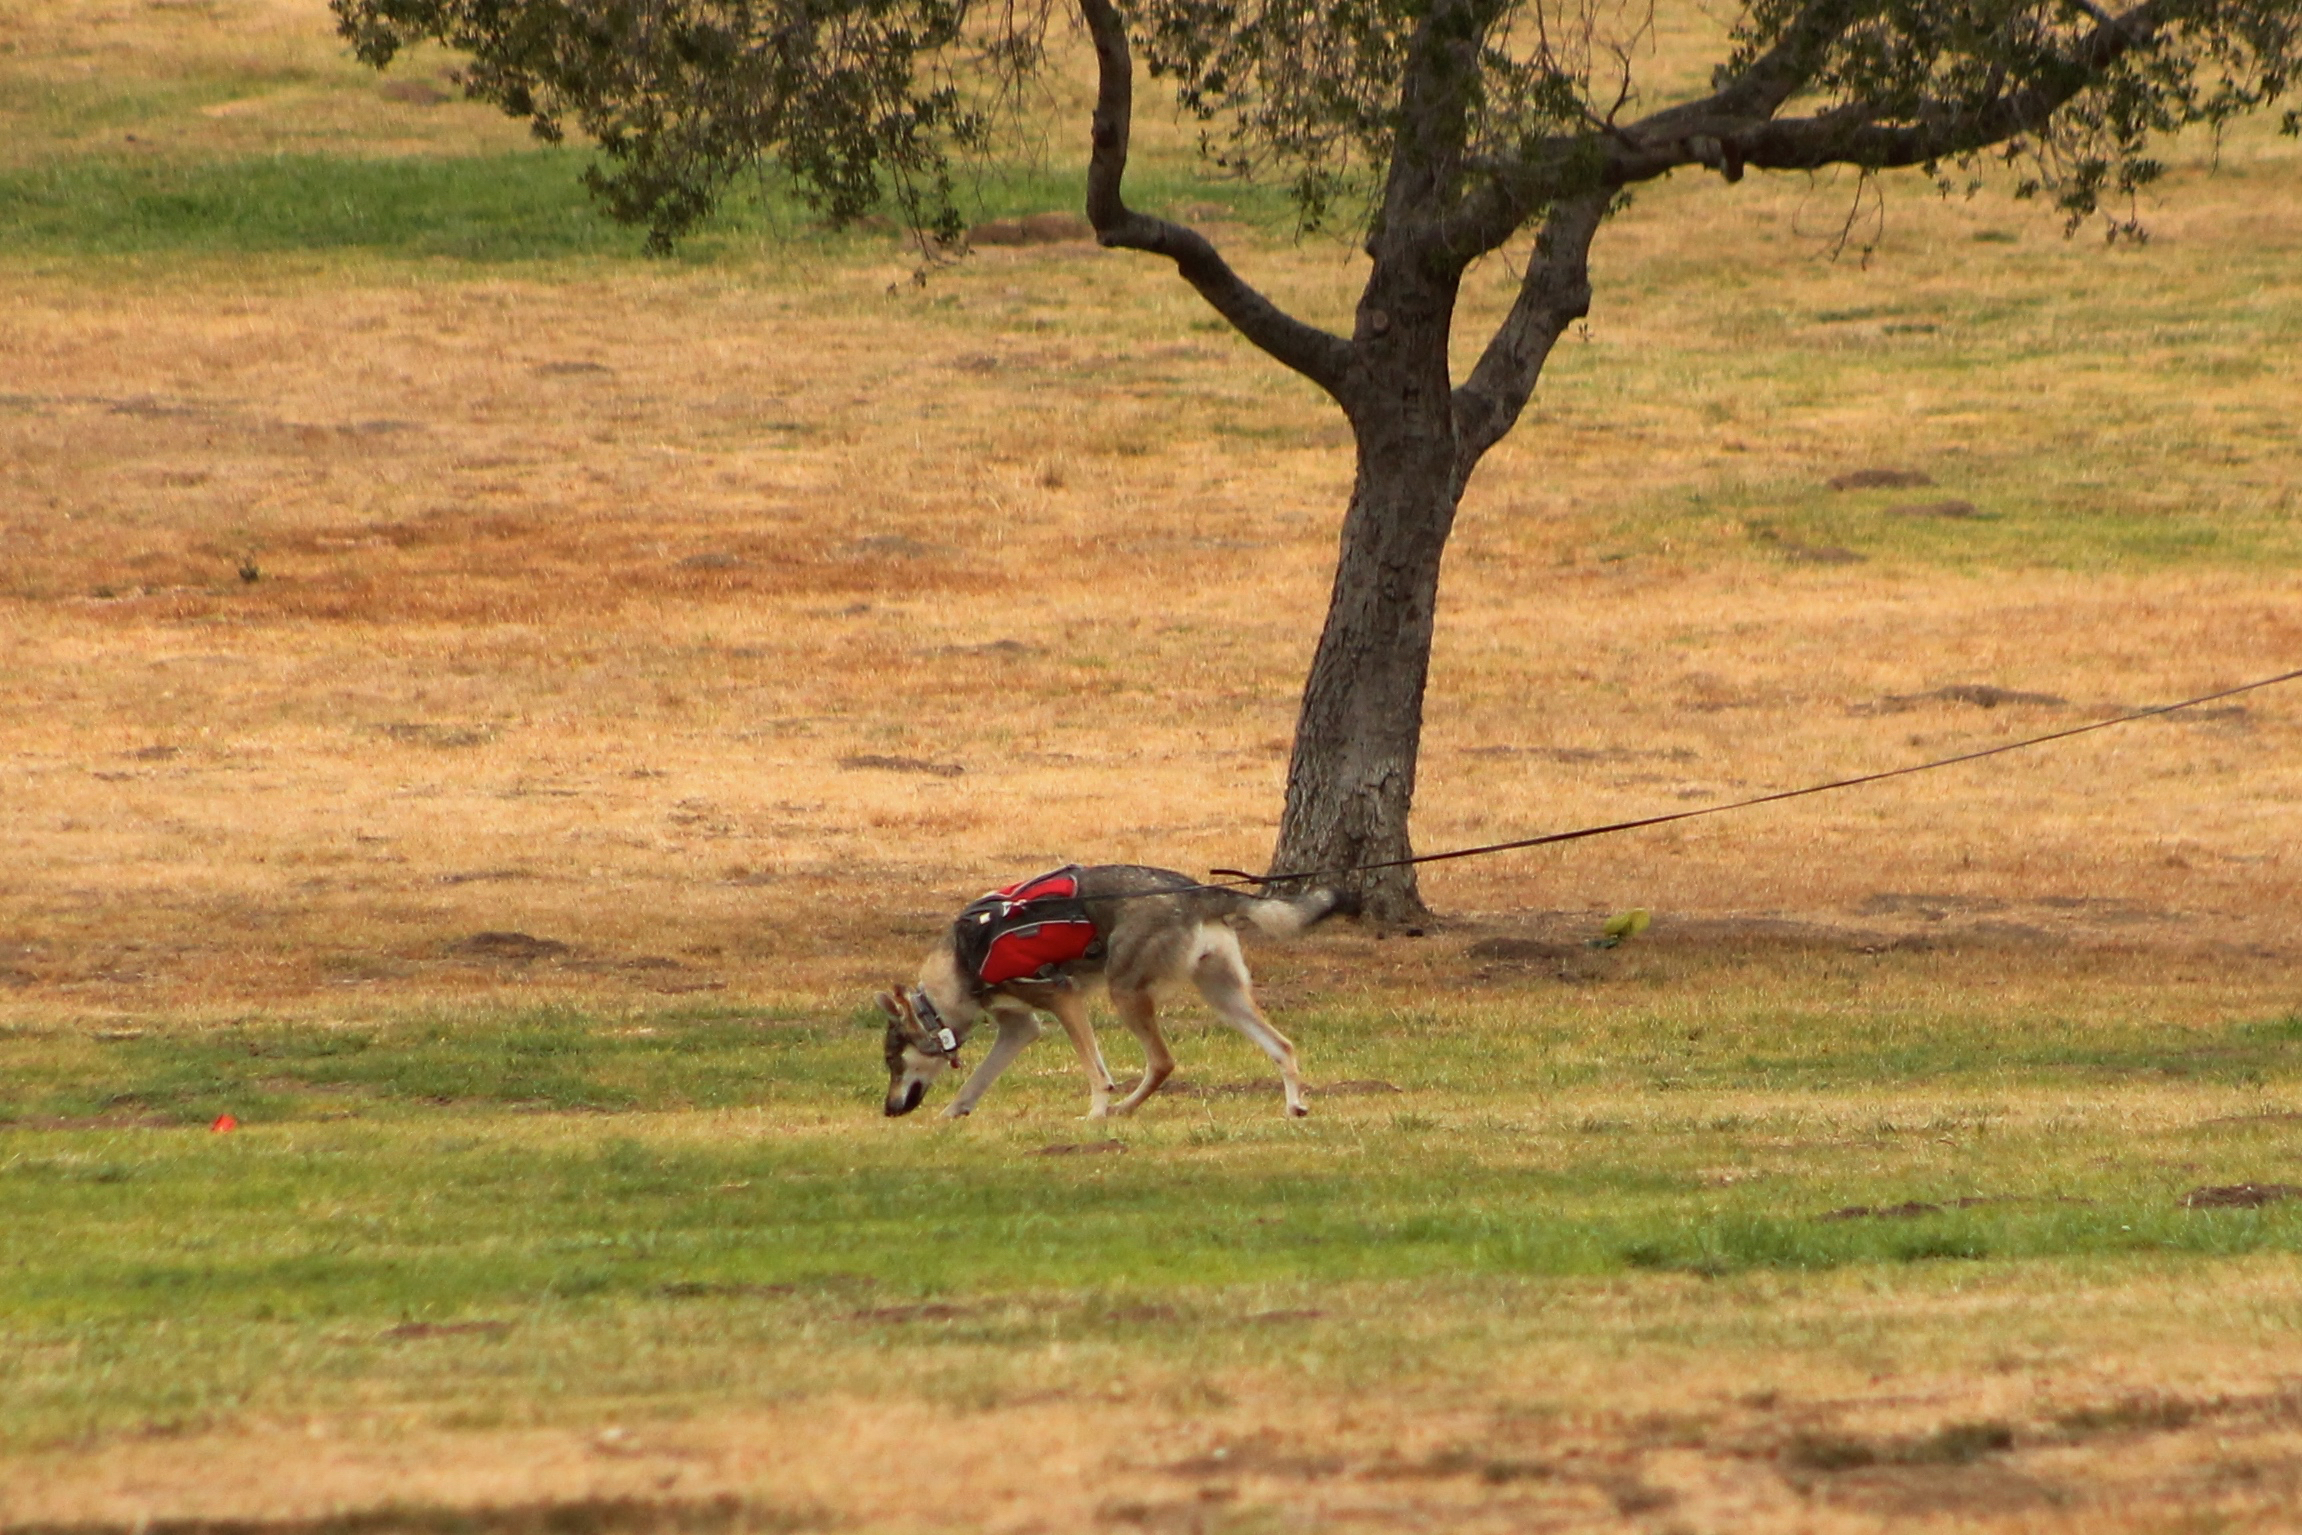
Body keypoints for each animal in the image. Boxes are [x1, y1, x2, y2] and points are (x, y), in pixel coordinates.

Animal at [878, 864, 1355, 1121]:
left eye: (893, 1063)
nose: (887, 1109)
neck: (964, 956)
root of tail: (1199, 891)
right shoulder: (1020, 1027)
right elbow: (975, 1083)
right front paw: (951, 1115)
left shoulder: (1064, 1000)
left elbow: (1098, 1075)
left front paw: (1094, 1114)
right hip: (1223, 1000)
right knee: (1283, 1047)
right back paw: (1294, 1108)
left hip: (1124, 995)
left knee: (1162, 1063)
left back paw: (1120, 1110)